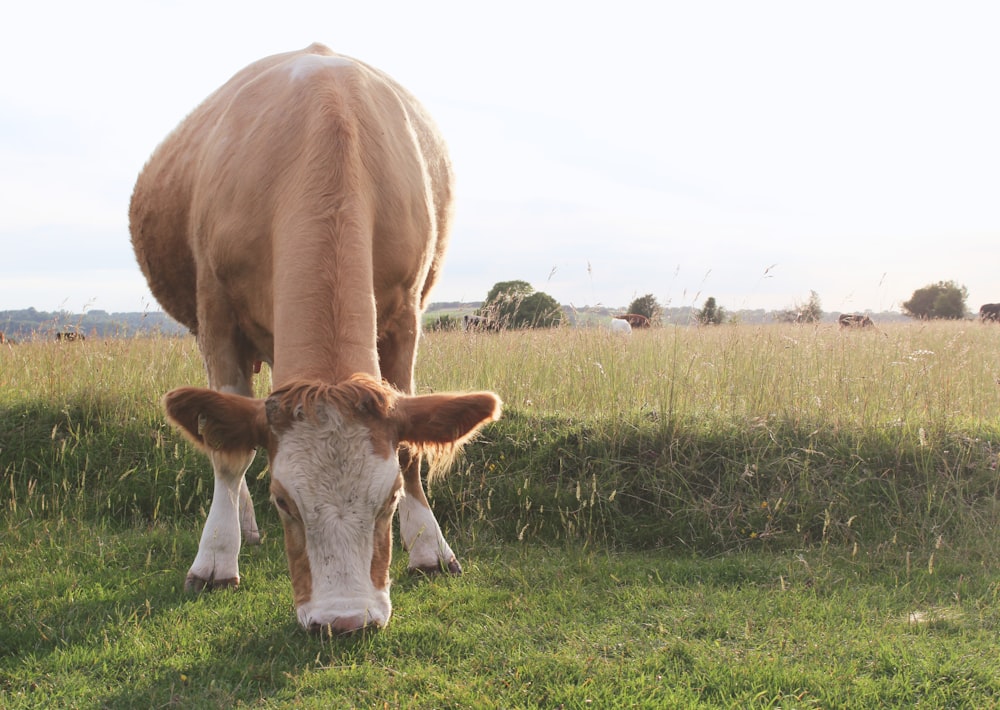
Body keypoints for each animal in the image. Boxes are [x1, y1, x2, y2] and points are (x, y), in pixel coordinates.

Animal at [130, 43, 504, 636]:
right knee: (228, 432)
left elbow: (410, 449)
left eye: (389, 501)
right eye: (283, 501)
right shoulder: (216, 315)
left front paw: (429, 548)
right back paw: (240, 527)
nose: (345, 620)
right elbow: (229, 456)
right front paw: (215, 560)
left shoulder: (406, 315)